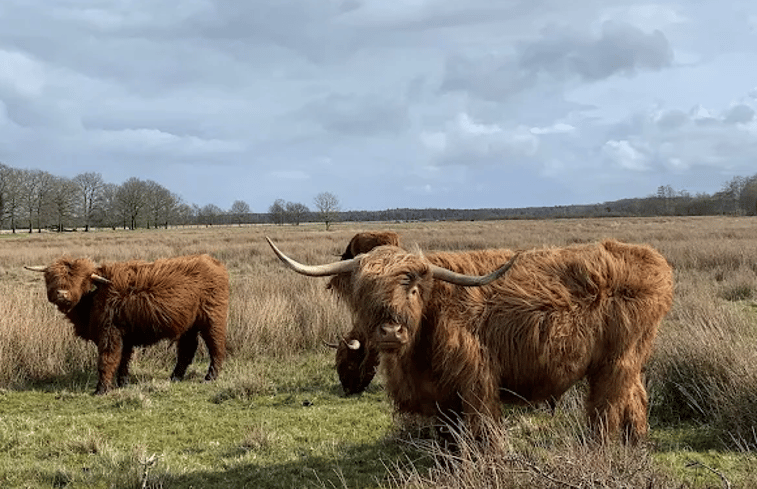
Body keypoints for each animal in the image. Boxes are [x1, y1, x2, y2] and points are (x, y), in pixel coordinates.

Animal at [26, 254, 227, 394]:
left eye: (81, 280)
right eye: (52, 278)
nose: (62, 294)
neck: (93, 297)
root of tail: (213, 261)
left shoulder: (110, 333)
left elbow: (107, 360)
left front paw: (102, 389)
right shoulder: (125, 335)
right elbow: (123, 360)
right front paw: (122, 383)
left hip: (213, 319)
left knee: (216, 346)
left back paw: (210, 377)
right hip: (188, 325)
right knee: (187, 349)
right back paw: (175, 377)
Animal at [268, 237, 672, 442]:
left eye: (413, 289)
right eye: (365, 290)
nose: (390, 331)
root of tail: (651, 258)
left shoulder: (476, 383)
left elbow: (483, 431)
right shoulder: (440, 395)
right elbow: (448, 434)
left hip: (615, 362)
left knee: (608, 407)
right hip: (628, 361)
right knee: (635, 397)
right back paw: (635, 442)